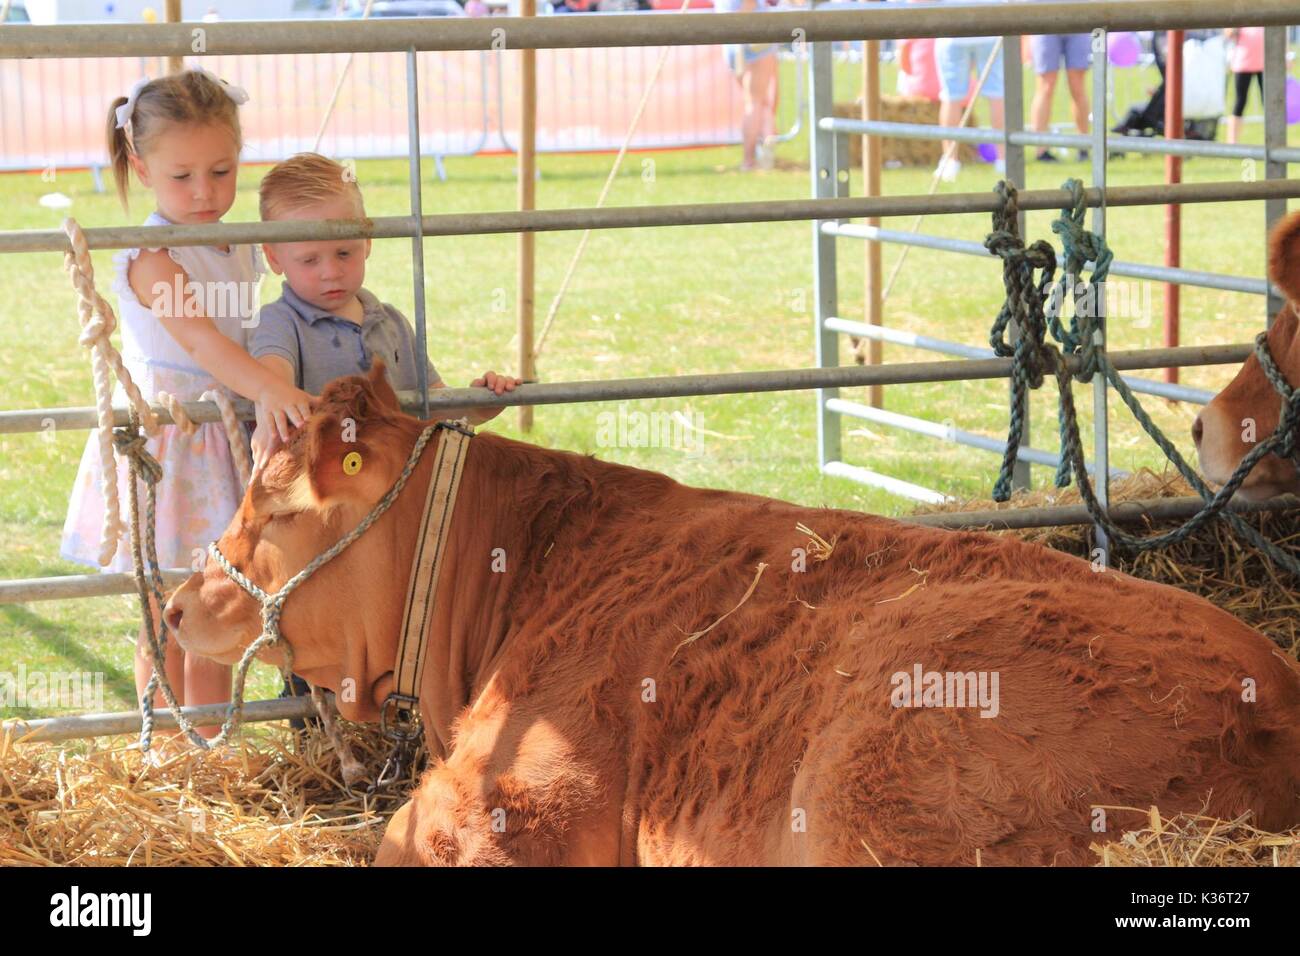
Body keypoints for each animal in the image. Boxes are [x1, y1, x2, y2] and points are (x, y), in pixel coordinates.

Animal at [167, 361, 1300, 863]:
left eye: (274, 504)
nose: (175, 605)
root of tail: (1268, 700)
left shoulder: (522, 799)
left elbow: (404, 834)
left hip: (863, 787)